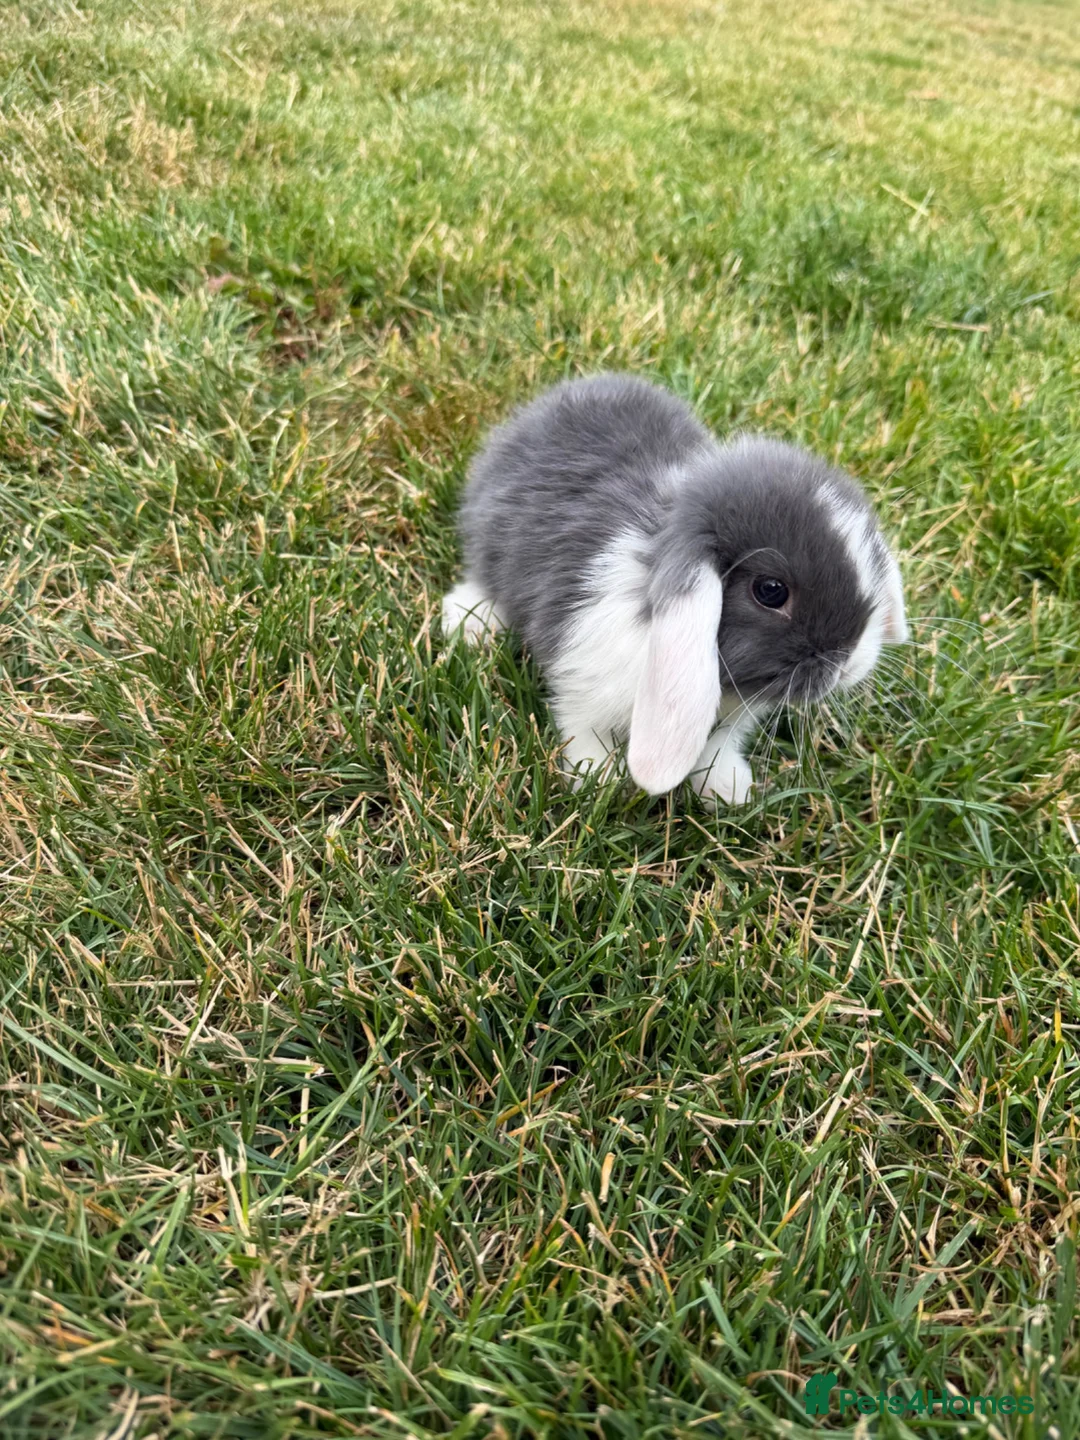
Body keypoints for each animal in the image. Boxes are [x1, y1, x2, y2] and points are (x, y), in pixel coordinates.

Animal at [441, 373, 907, 806]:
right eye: (771, 590)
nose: (850, 663)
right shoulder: (582, 681)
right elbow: (583, 728)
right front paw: (599, 782)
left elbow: (716, 748)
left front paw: (728, 790)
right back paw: (469, 621)